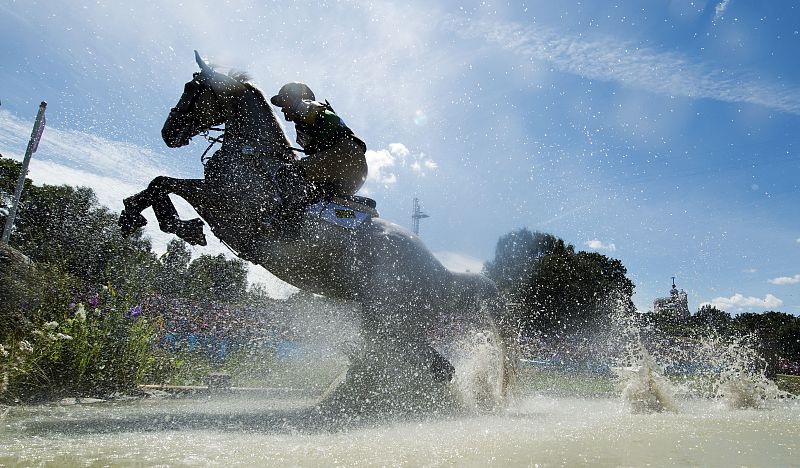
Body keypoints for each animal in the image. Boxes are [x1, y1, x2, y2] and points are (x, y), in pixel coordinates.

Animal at [120, 52, 520, 416]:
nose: (168, 132)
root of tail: (440, 273)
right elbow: (159, 183)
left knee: (435, 367)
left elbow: (167, 183)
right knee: (419, 362)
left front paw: (179, 225)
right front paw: (130, 216)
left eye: (194, 90)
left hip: (392, 317)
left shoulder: (230, 209)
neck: (254, 157)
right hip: (385, 319)